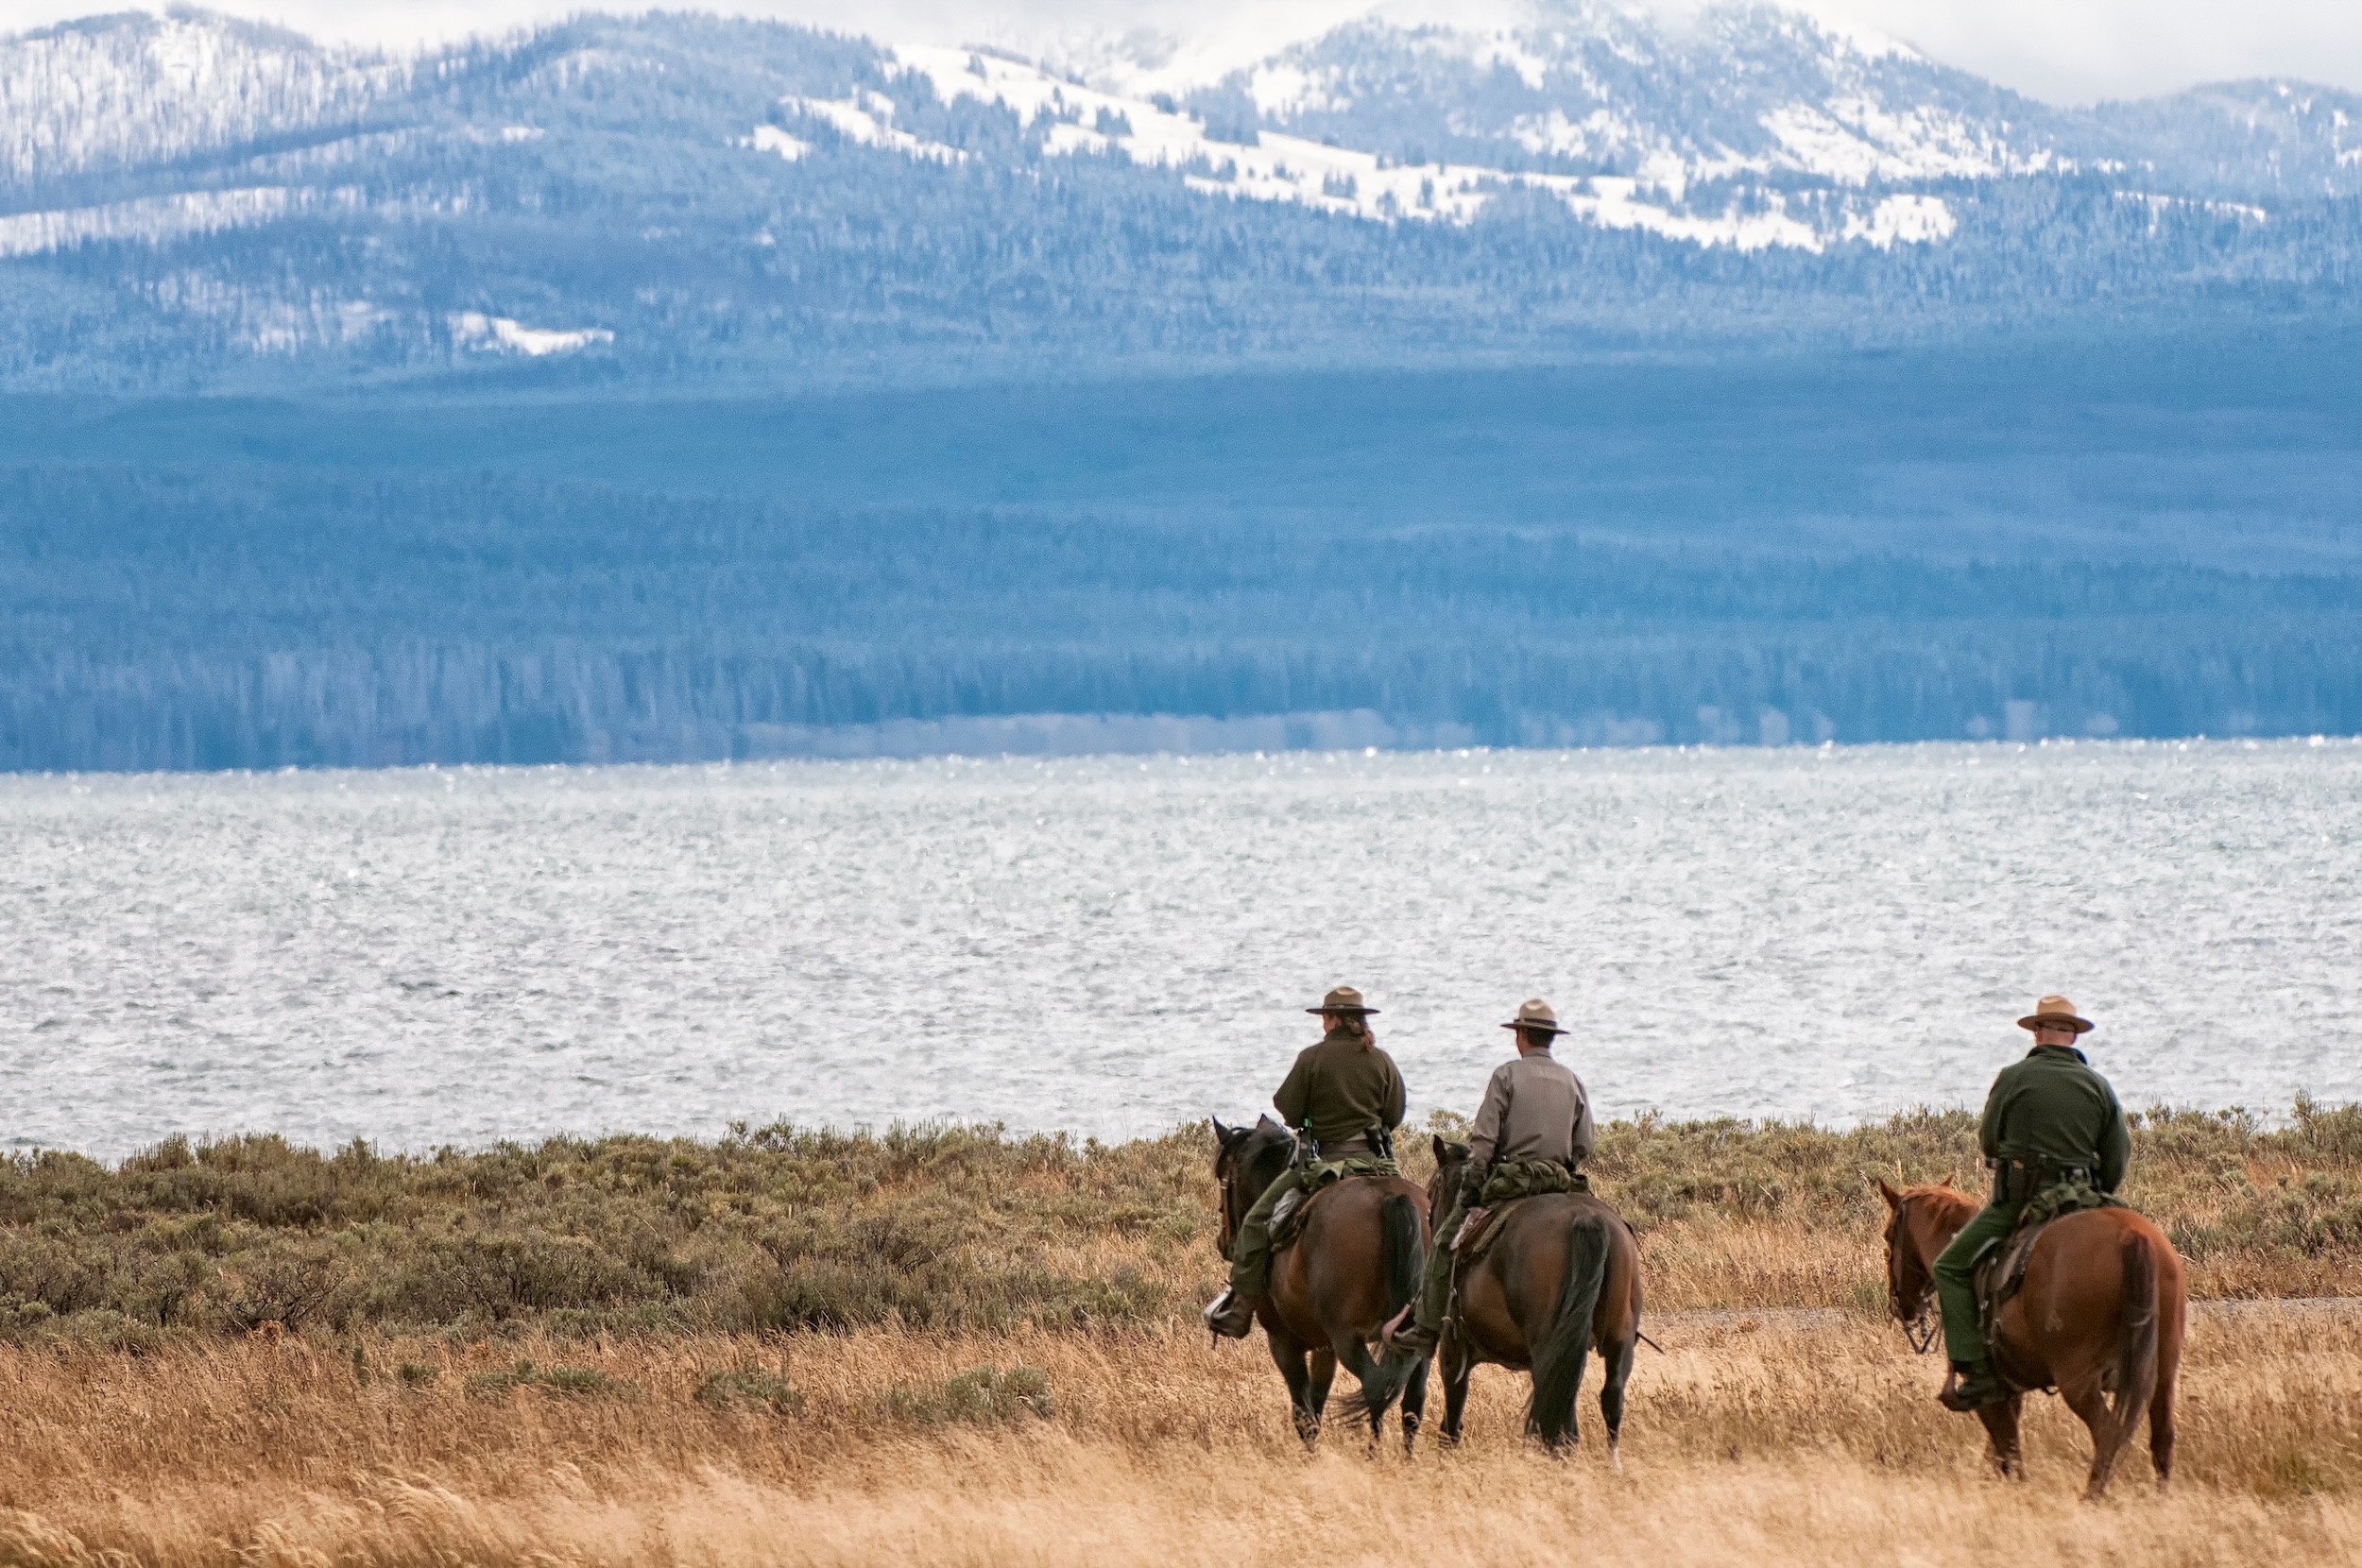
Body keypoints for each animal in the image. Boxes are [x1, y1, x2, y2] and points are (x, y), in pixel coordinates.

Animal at [1211, 1115, 1432, 1450]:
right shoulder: (1324, 1347)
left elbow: (1303, 1413)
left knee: (1376, 1386)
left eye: (1222, 1174)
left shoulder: (1284, 1342)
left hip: (1348, 1339)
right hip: (1416, 1342)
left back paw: (1374, 1454)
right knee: (1413, 1400)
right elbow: (1316, 1406)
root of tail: (1393, 1198)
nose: (1223, 1241)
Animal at [1424, 1137, 1644, 1455]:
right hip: (1617, 1339)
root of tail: (1587, 1219)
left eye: (1433, 1189)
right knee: (1608, 1398)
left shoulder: (1454, 1346)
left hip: (1548, 1347)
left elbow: (1452, 1414)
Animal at [1878, 1177, 2186, 1498]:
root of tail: (2130, 1236)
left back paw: (2092, 1497)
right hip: (2161, 1374)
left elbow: (2008, 1451)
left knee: (2108, 1433)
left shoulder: (1989, 1395)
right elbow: (2000, 1451)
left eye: (1888, 1236)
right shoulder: (2012, 1390)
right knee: (2162, 1438)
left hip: (2078, 1382)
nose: (1900, 1305)